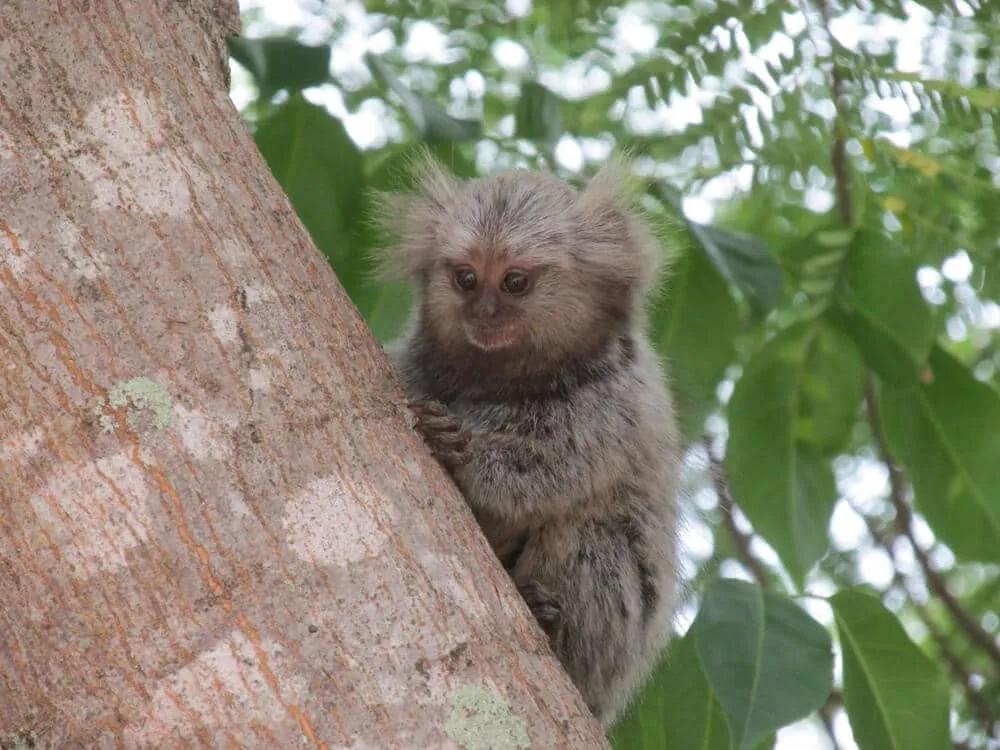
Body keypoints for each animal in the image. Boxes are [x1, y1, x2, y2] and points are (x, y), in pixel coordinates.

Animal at [375, 154, 681, 726]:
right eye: (466, 278)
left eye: (514, 281)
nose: (484, 314)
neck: (501, 381)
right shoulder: (414, 365)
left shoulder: (611, 404)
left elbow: (546, 474)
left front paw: (463, 451)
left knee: (596, 536)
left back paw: (550, 626)